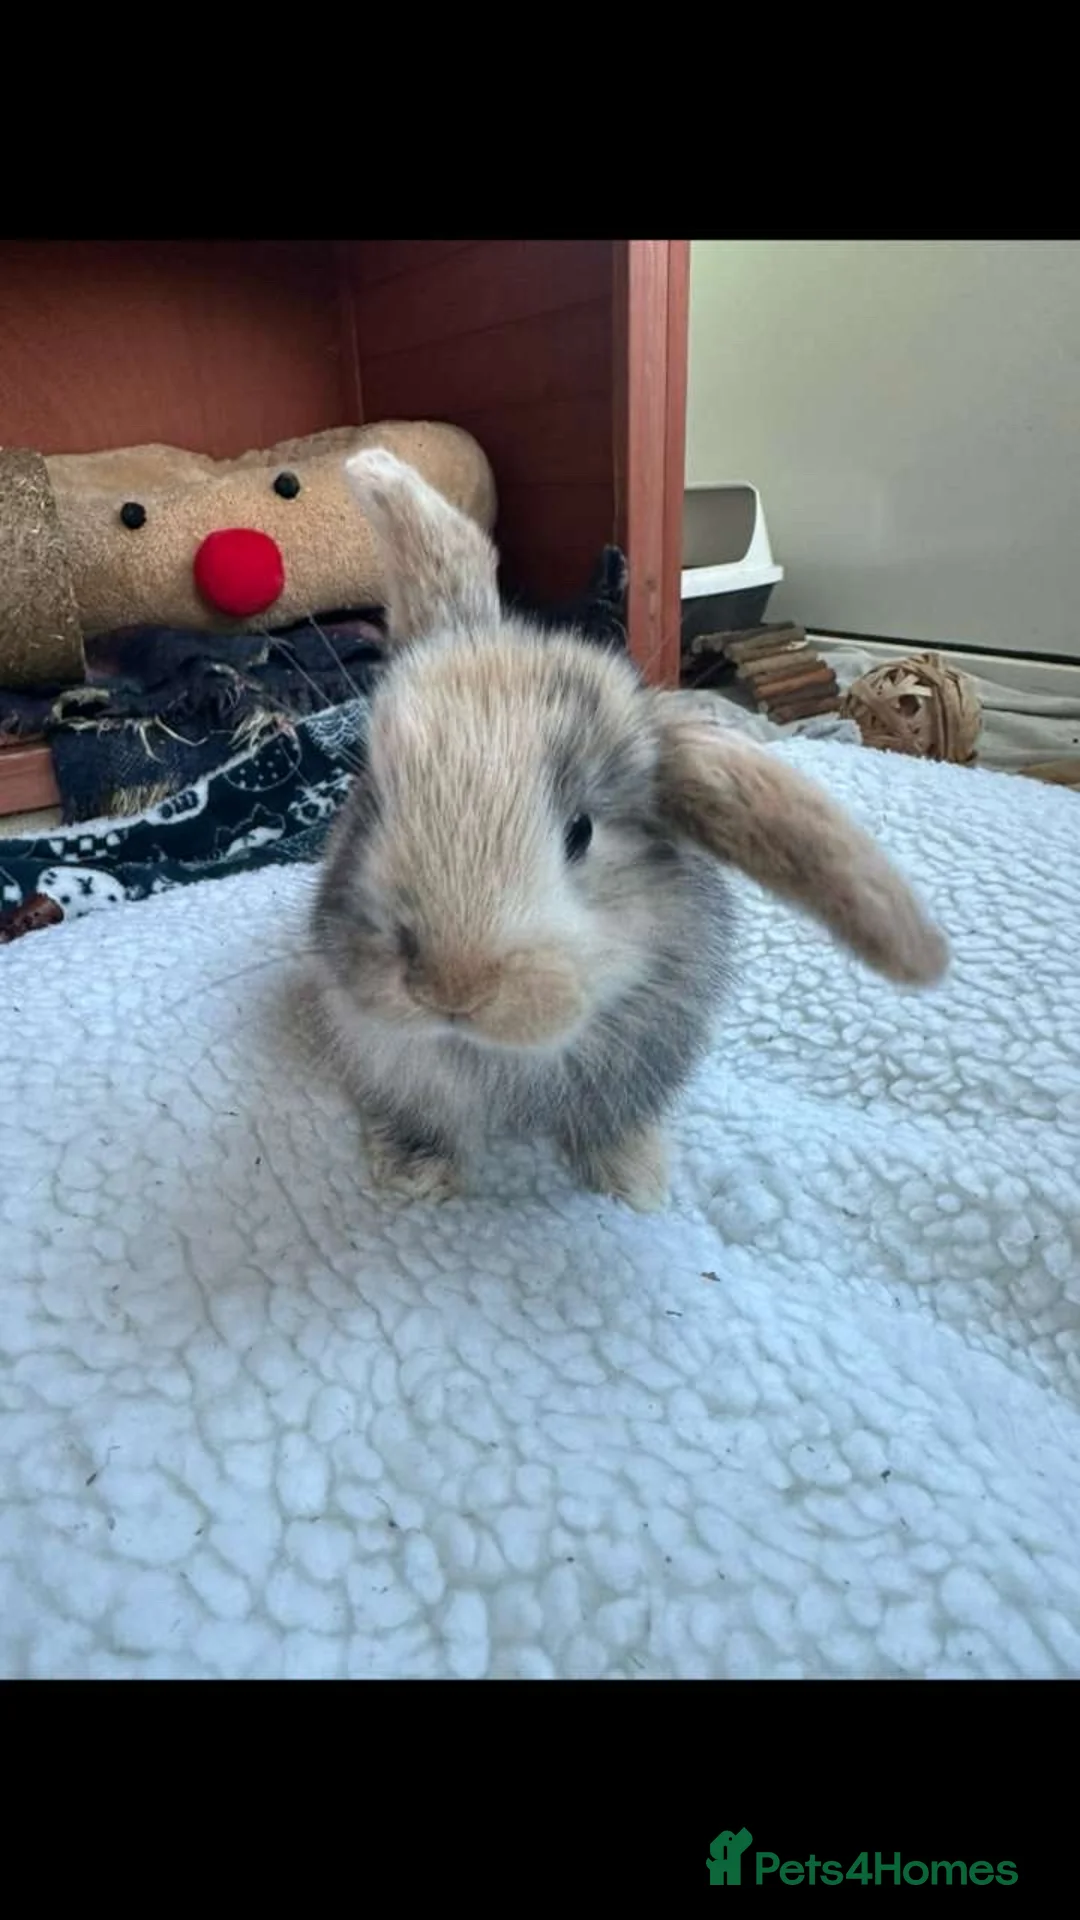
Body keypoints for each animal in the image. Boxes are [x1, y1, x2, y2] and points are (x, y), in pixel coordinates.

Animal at [308, 448, 948, 1212]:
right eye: (374, 801)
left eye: (580, 832)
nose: (450, 987)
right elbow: (421, 1117)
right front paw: (416, 1176)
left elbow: (611, 1125)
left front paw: (634, 1184)